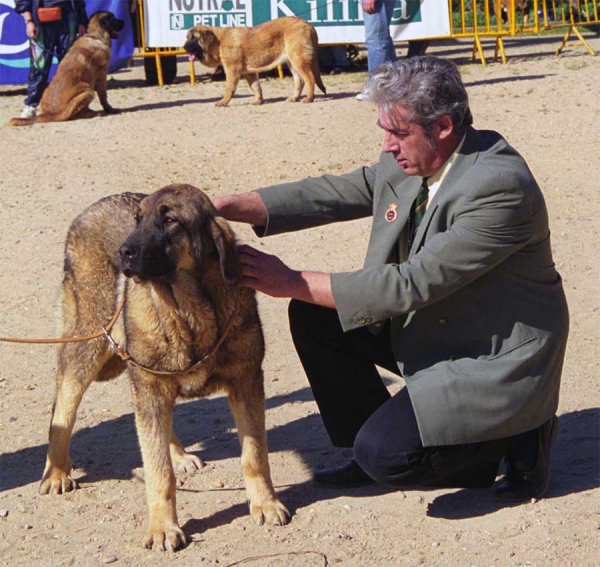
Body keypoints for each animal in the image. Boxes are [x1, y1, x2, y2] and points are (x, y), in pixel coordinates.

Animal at [38, 183, 290, 552]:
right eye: (138, 220)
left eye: (170, 220)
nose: (124, 252)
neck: (187, 311)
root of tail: (91, 209)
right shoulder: (151, 387)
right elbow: (159, 472)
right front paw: (162, 527)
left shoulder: (246, 383)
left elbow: (254, 455)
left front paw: (265, 503)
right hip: (89, 348)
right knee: (62, 409)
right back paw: (56, 472)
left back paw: (178, 454)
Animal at [183, 16, 326, 106]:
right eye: (187, 37)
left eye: (194, 38)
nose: (184, 47)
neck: (219, 41)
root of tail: (307, 23)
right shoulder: (249, 72)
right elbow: (256, 87)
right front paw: (258, 101)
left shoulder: (232, 71)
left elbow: (229, 89)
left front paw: (223, 102)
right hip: (292, 63)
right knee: (300, 81)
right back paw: (294, 98)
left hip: (298, 60)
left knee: (310, 78)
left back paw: (309, 98)